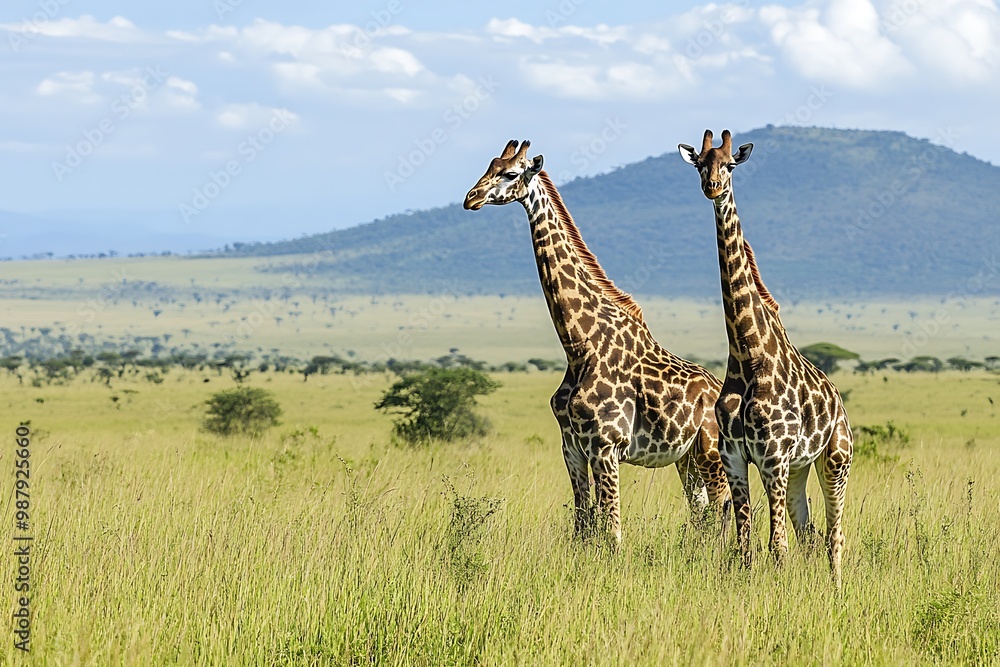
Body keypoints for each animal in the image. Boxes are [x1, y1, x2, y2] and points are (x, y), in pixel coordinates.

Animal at [464, 139, 730, 544]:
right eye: (488, 166)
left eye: (510, 173)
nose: (471, 198)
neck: (579, 346)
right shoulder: (571, 447)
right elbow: (582, 525)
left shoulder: (606, 447)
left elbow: (612, 532)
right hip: (686, 459)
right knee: (702, 513)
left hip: (711, 453)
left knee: (723, 509)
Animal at [678, 129, 853, 585]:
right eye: (700, 163)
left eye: (730, 165)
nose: (712, 187)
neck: (747, 352)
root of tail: (839, 401)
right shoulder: (735, 457)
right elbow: (745, 544)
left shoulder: (772, 457)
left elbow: (777, 545)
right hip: (799, 469)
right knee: (809, 530)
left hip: (836, 459)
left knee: (834, 533)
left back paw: (837, 587)